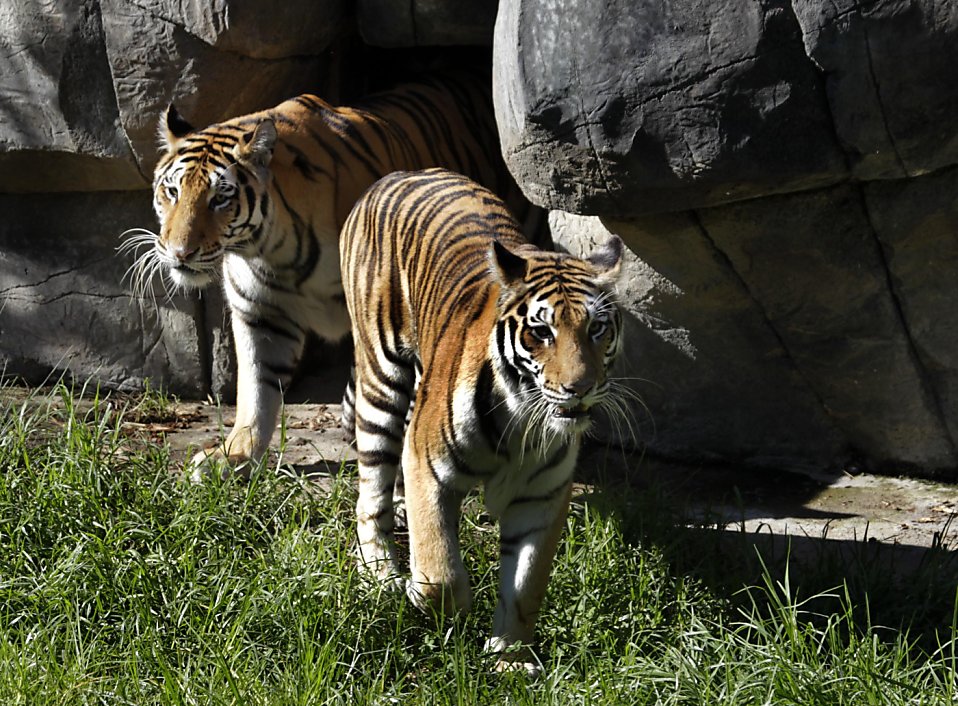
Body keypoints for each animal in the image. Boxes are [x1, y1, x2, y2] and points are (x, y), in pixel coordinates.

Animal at [121, 72, 525, 479]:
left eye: (220, 198)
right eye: (172, 191)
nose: (179, 252)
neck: (269, 248)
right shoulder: (261, 313)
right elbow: (256, 391)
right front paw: (234, 455)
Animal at [339, 168, 624, 673]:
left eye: (597, 329)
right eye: (541, 331)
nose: (580, 387)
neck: (523, 424)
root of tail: (399, 174)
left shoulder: (541, 497)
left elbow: (525, 586)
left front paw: (509, 659)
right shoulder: (428, 468)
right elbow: (441, 574)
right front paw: (429, 602)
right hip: (381, 380)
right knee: (370, 493)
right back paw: (382, 575)